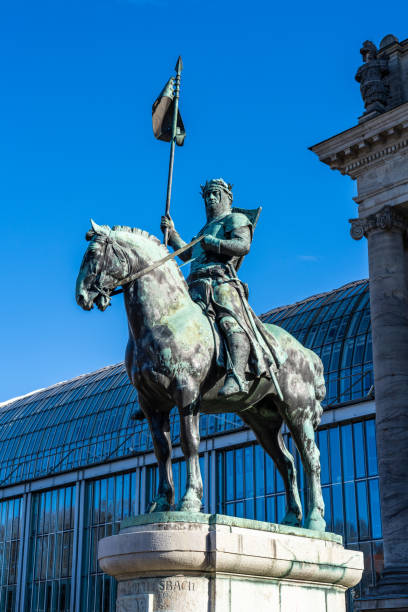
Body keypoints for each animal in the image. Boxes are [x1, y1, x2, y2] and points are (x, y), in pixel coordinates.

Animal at [75, 220, 326, 532]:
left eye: (93, 253)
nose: (82, 297)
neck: (165, 318)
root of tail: (306, 352)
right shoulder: (151, 403)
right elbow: (162, 449)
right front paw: (161, 501)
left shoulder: (187, 394)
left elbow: (190, 443)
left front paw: (190, 500)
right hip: (262, 420)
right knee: (287, 462)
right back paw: (292, 518)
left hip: (297, 411)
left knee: (310, 458)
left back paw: (315, 520)